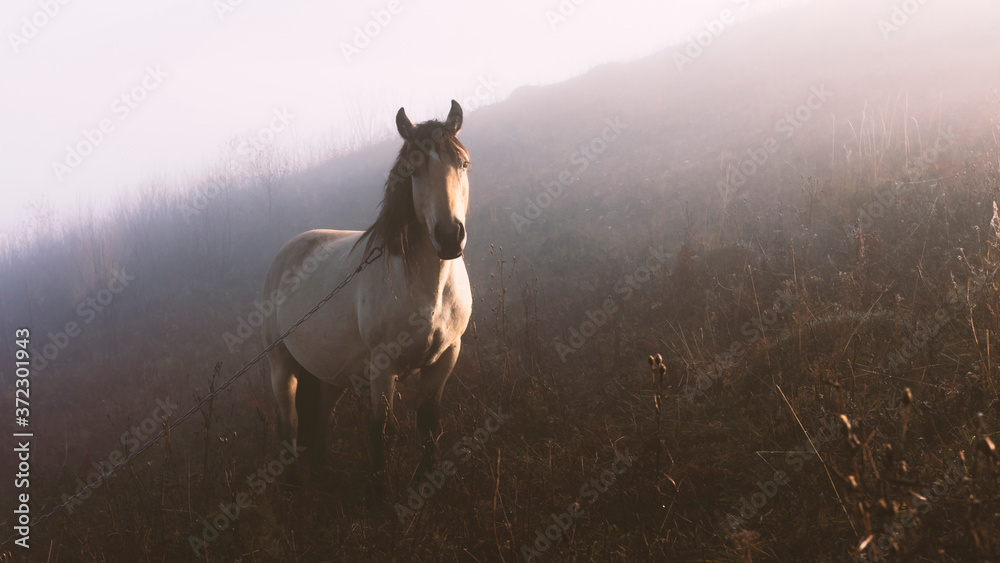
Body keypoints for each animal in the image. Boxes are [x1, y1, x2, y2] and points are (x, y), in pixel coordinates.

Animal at [262, 99, 472, 486]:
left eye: (463, 164)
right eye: (413, 171)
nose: (450, 236)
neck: (426, 287)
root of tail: (288, 252)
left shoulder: (446, 357)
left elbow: (428, 426)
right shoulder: (382, 367)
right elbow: (381, 431)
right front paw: (379, 491)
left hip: (328, 376)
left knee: (320, 422)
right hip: (281, 365)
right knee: (290, 425)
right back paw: (295, 486)